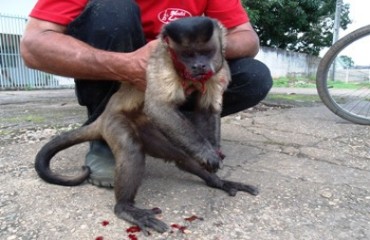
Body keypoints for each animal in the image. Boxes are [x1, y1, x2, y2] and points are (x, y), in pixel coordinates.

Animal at [36, 16, 258, 234]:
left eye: (205, 52)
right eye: (187, 55)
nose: (199, 66)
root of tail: (103, 115)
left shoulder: (218, 69)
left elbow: (208, 109)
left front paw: (214, 155)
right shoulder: (163, 62)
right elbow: (159, 107)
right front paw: (208, 154)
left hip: (151, 131)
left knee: (181, 156)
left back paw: (215, 181)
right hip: (115, 122)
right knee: (131, 148)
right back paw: (125, 207)